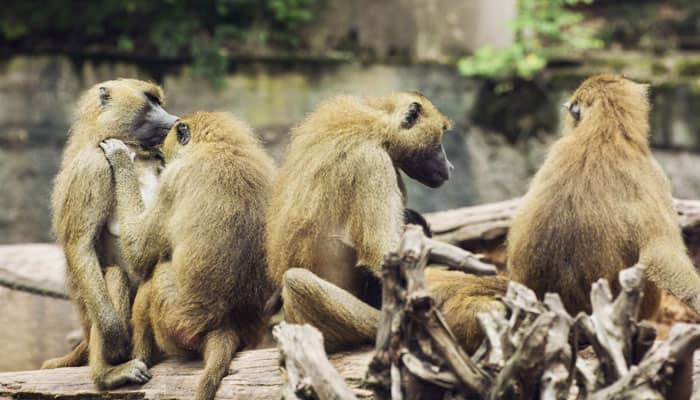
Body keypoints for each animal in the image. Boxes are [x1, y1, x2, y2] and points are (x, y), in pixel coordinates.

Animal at [42, 78, 178, 388]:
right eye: (150, 100)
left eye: (158, 101)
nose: (175, 120)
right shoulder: (94, 168)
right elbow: (80, 246)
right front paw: (114, 337)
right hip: (91, 318)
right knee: (114, 276)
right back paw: (108, 374)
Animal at [100, 111, 274, 400]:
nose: (160, 155)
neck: (220, 145)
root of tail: (226, 325)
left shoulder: (173, 179)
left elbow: (138, 252)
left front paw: (121, 157)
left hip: (174, 322)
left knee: (154, 277)